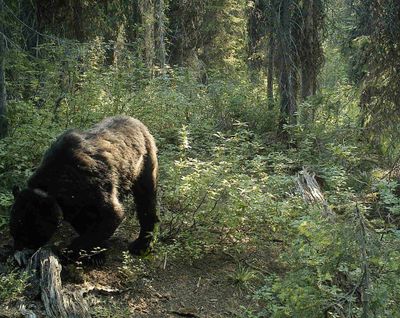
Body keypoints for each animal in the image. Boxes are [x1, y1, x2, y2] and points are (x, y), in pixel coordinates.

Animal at [10, 115, 159, 260]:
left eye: (27, 233)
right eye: (14, 231)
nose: (19, 251)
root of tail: (138, 122)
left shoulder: (97, 185)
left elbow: (111, 216)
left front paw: (68, 252)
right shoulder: (75, 202)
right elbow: (84, 221)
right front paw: (97, 252)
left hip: (144, 164)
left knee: (146, 200)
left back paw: (141, 245)